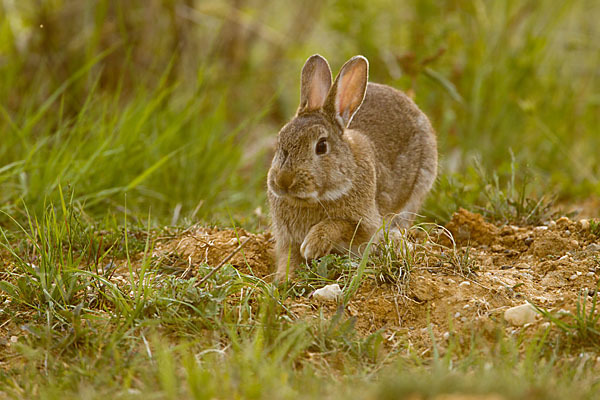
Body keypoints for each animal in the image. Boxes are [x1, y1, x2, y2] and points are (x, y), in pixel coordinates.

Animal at [268, 54, 436, 282]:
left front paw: (313, 244)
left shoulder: (365, 225)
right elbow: (289, 258)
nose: (284, 181)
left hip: (420, 185)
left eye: (321, 146)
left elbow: (339, 224)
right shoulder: (286, 238)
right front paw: (285, 279)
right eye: (280, 140)